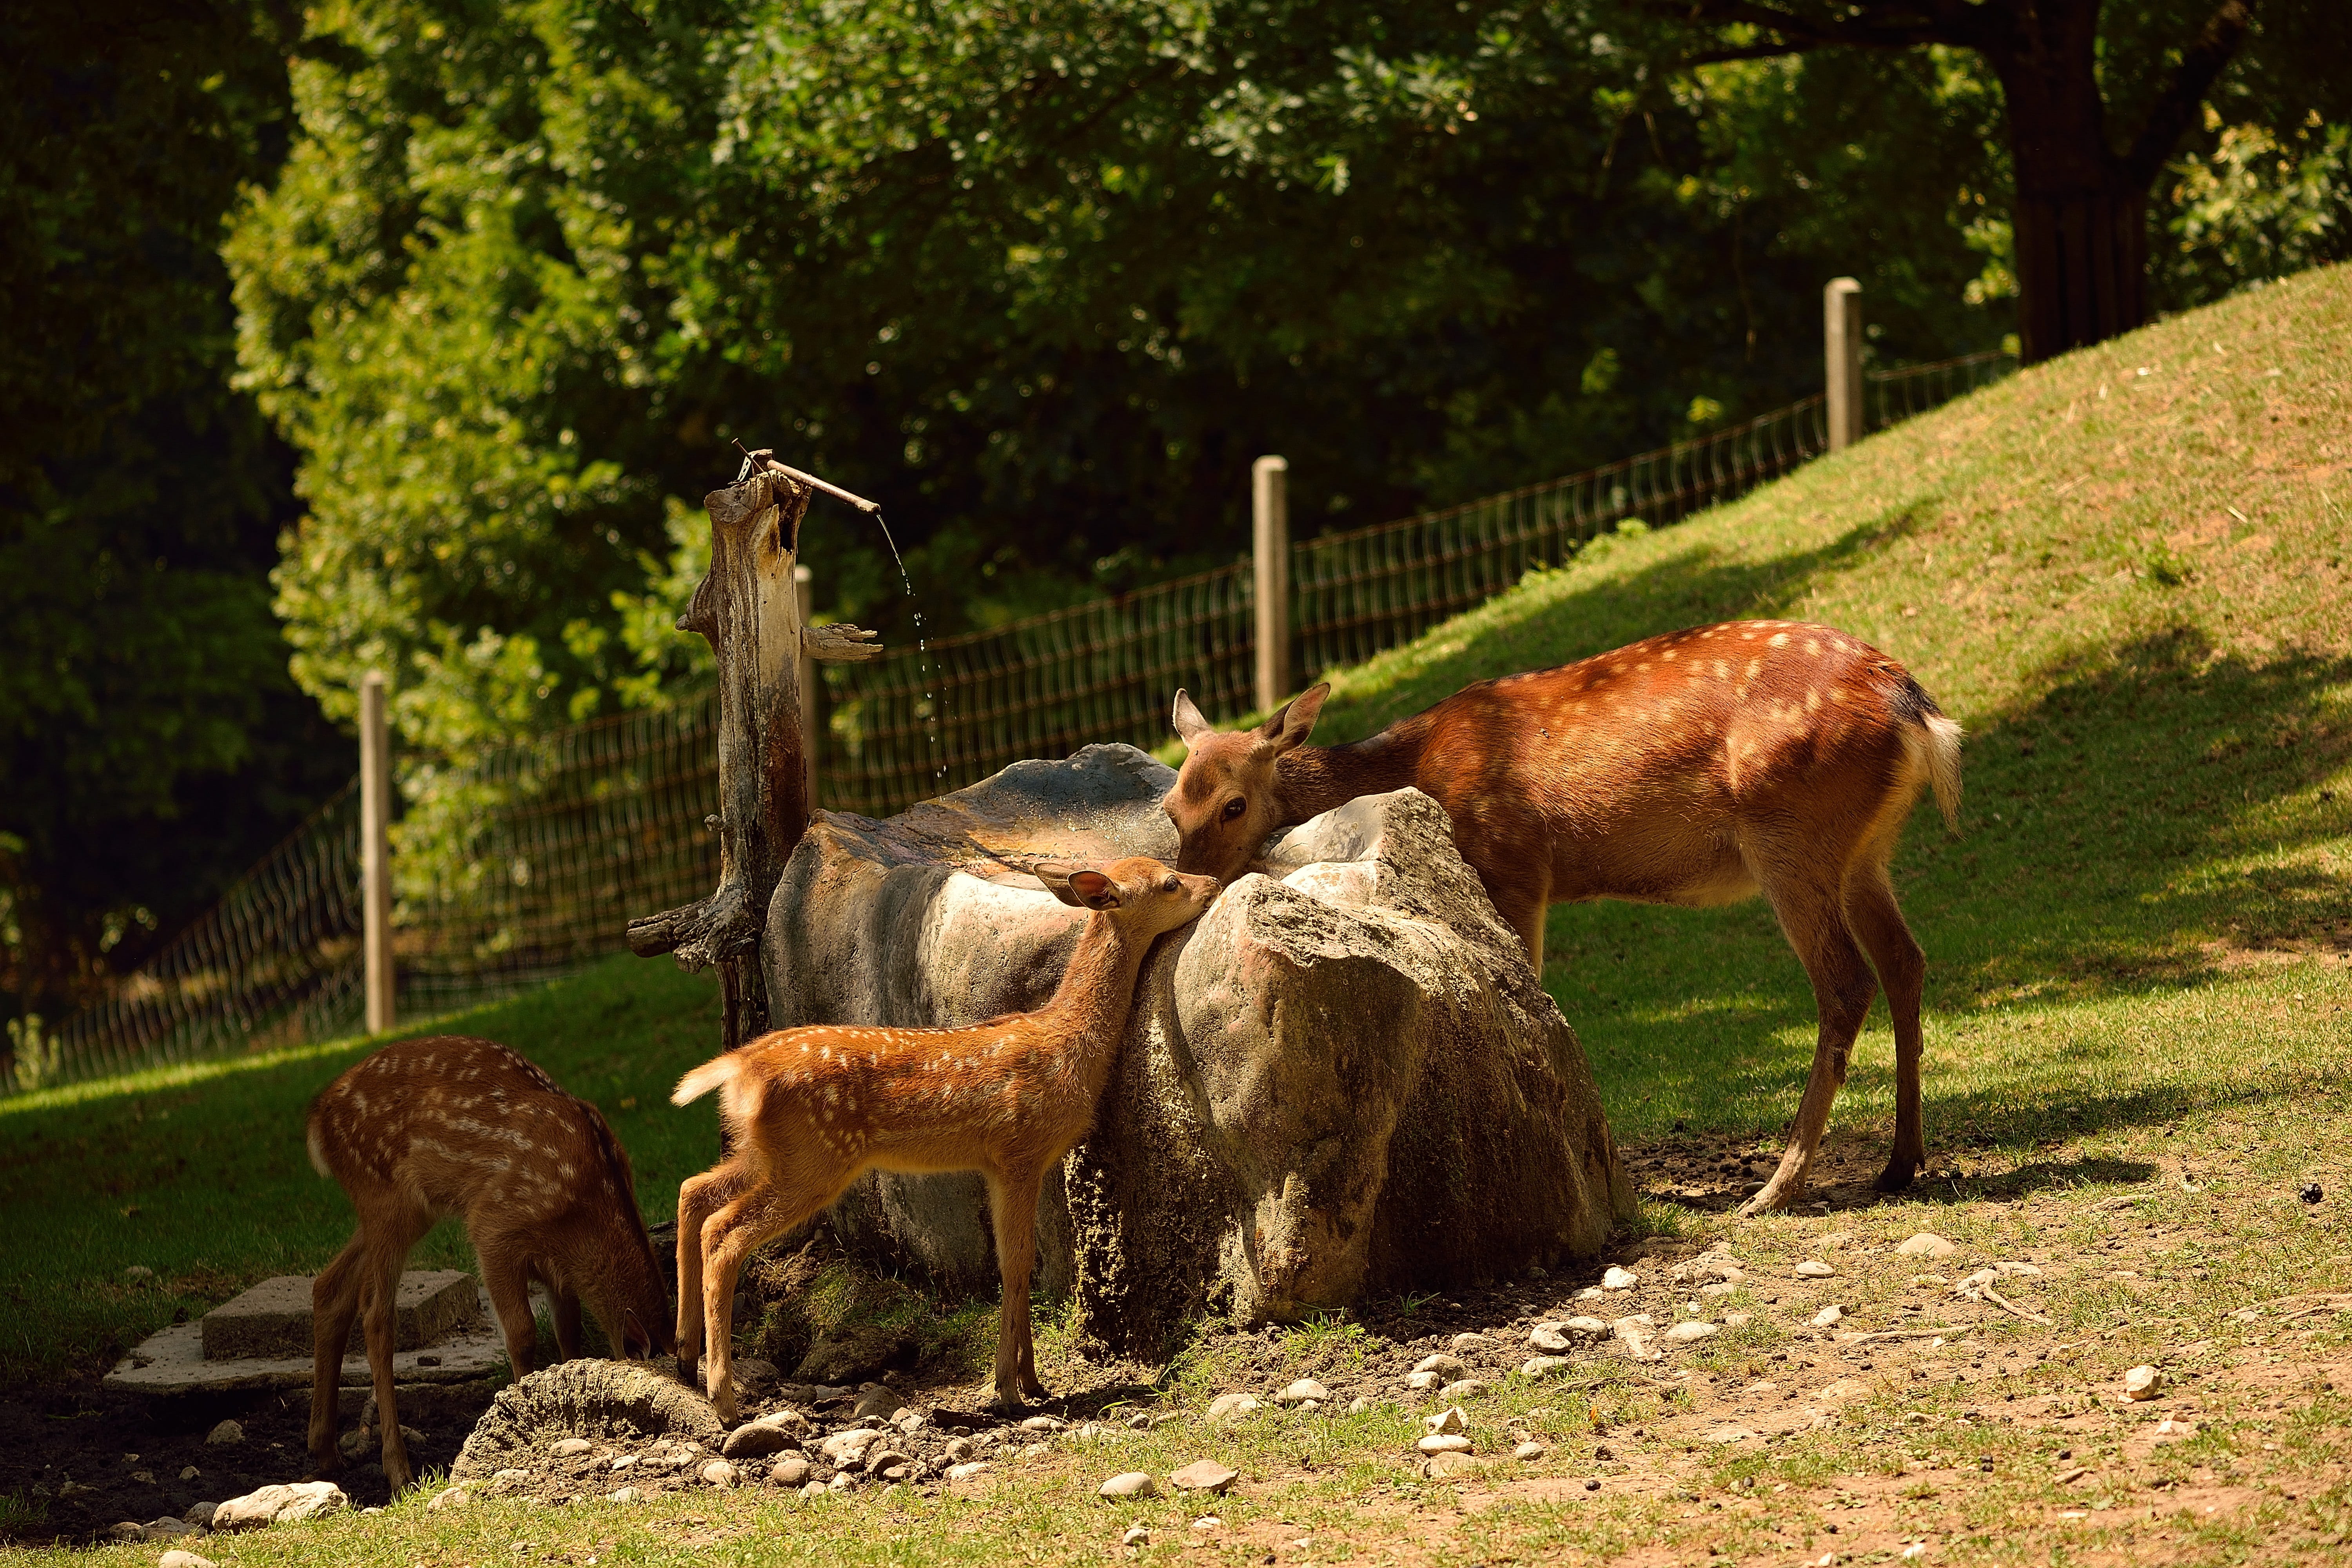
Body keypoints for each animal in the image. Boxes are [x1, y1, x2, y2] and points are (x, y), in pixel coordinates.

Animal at [304, 1034, 674, 1493]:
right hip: (385, 1193)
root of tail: (318, 1118)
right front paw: (523, 1415)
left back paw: (325, 1451)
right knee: (376, 1314)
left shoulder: (558, 1269)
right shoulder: (494, 1226)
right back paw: (398, 1469)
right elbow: (523, 1333)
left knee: (329, 1287)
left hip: (405, 1209)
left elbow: (568, 1334)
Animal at [669, 856, 1218, 1421]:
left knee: (693, 1192)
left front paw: (1033, 1382)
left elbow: (1016, 1266)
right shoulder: (1019, 1151)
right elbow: (1017, 1265)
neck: (1066, 1045)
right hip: (814, 1157)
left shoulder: (1002, 1165)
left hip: (766, 1150)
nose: (1214, 883)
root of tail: (740, 1067)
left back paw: (686, 1358)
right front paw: (1009, 1390)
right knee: (724, 1235)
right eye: (1171, 883)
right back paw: (724, 1399)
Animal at [1164, 619, 1962, 1216]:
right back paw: (1900, 1163)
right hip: (1865, 850)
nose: (1193, 881)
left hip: (1789, 830)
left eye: (1235, 804)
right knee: (1907, 960)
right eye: (1173, 807)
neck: (1420, 766)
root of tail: (1919, 711)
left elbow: (1527, 980)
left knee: (1846, 983)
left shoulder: (1515, 860)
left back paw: (1774, 1190)